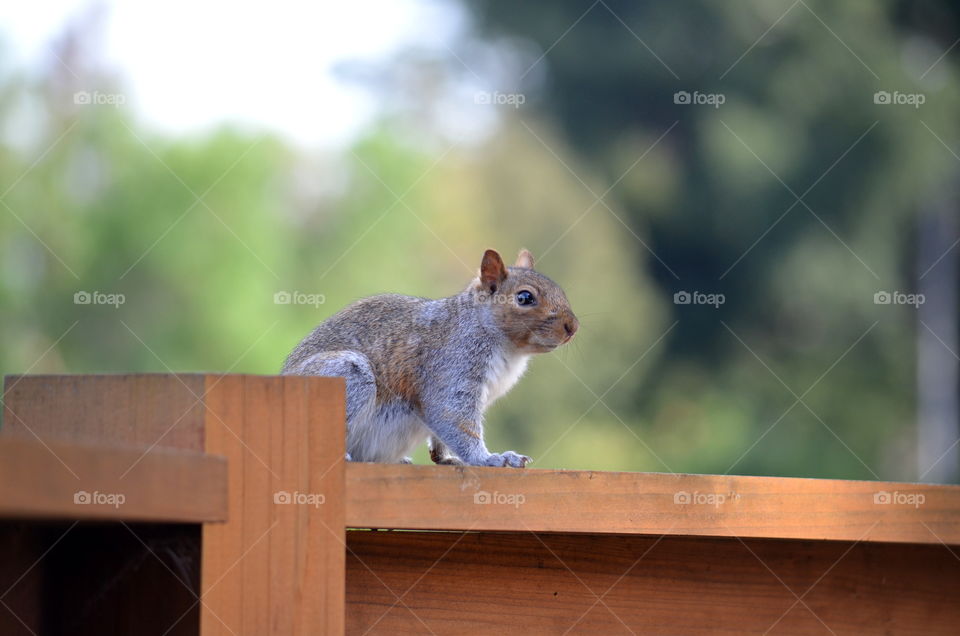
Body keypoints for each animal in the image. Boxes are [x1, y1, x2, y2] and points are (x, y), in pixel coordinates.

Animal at [280, 248, 579, 467]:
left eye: (561, 291)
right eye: (525, 297)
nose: (573, 327)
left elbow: (441, 437)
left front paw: (445, 457)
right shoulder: (452, 364)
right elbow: (453, 419)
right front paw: (491, 459)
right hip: (346, 374)